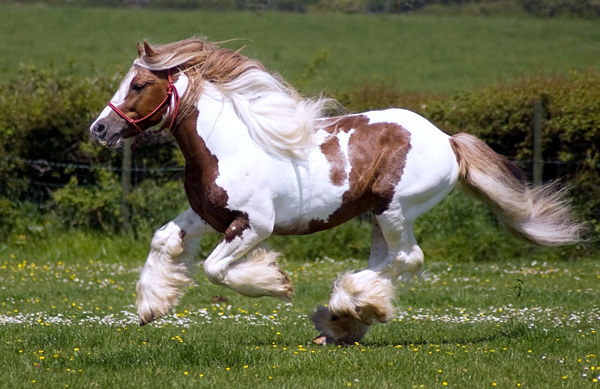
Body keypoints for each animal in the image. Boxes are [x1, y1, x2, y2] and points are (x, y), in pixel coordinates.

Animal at [91, 38, 584, 344]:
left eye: (138, 84)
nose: (99, 129)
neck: (229, 145)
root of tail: (447, 140)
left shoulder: (254, 225)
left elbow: (215, 269)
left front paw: (276, 283)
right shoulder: (205, 216)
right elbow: (162, 240)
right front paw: (151, 306)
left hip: (394, 209)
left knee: (408, 258)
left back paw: (346, 309)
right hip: (379, 217)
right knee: (388, 261)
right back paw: (343, 319)